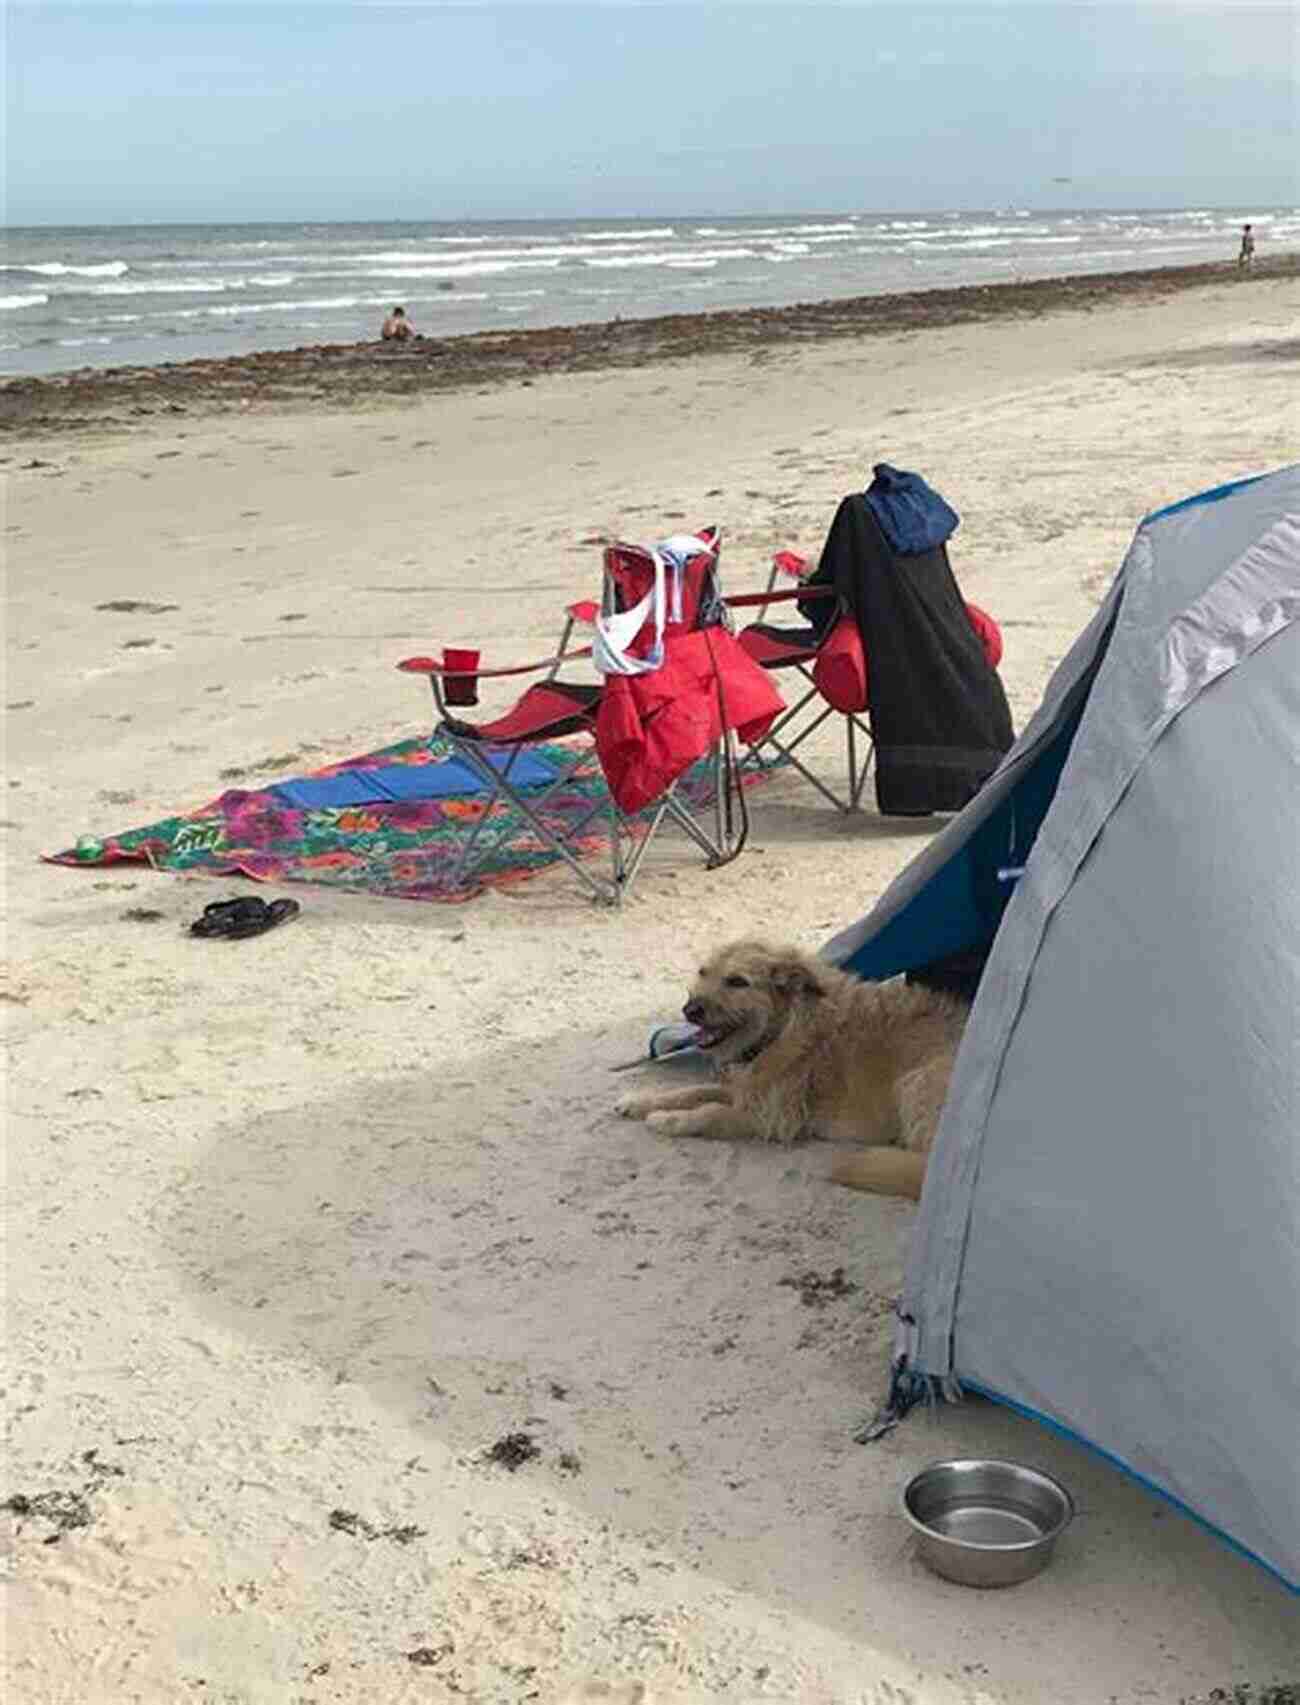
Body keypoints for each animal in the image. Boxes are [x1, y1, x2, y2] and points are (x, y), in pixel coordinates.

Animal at [614, 947, 962, 1200]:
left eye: (738, 981)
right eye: (703, 972)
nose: (690, 1010)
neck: (778, 1030)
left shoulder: (769, 1116)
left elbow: (708, 1112)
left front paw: (667, 1120)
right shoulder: (745, 1089)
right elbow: (692, 1091)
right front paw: (639, 1102)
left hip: (915, 1081)